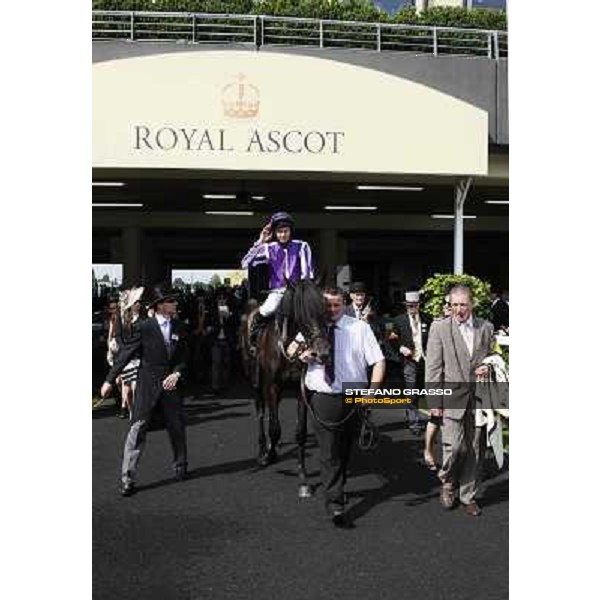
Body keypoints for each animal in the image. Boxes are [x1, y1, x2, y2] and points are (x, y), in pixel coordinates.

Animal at [246, 278, 330, 500]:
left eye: (324, 309)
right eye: (301, 313)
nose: (323, 352)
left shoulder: (301, 390)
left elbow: (300, 432)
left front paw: (303, 478)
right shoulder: (272, 386)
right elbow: (275, 428)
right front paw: (269, 455)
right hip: (256, 382)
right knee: (260, 412)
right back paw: (262, 450)